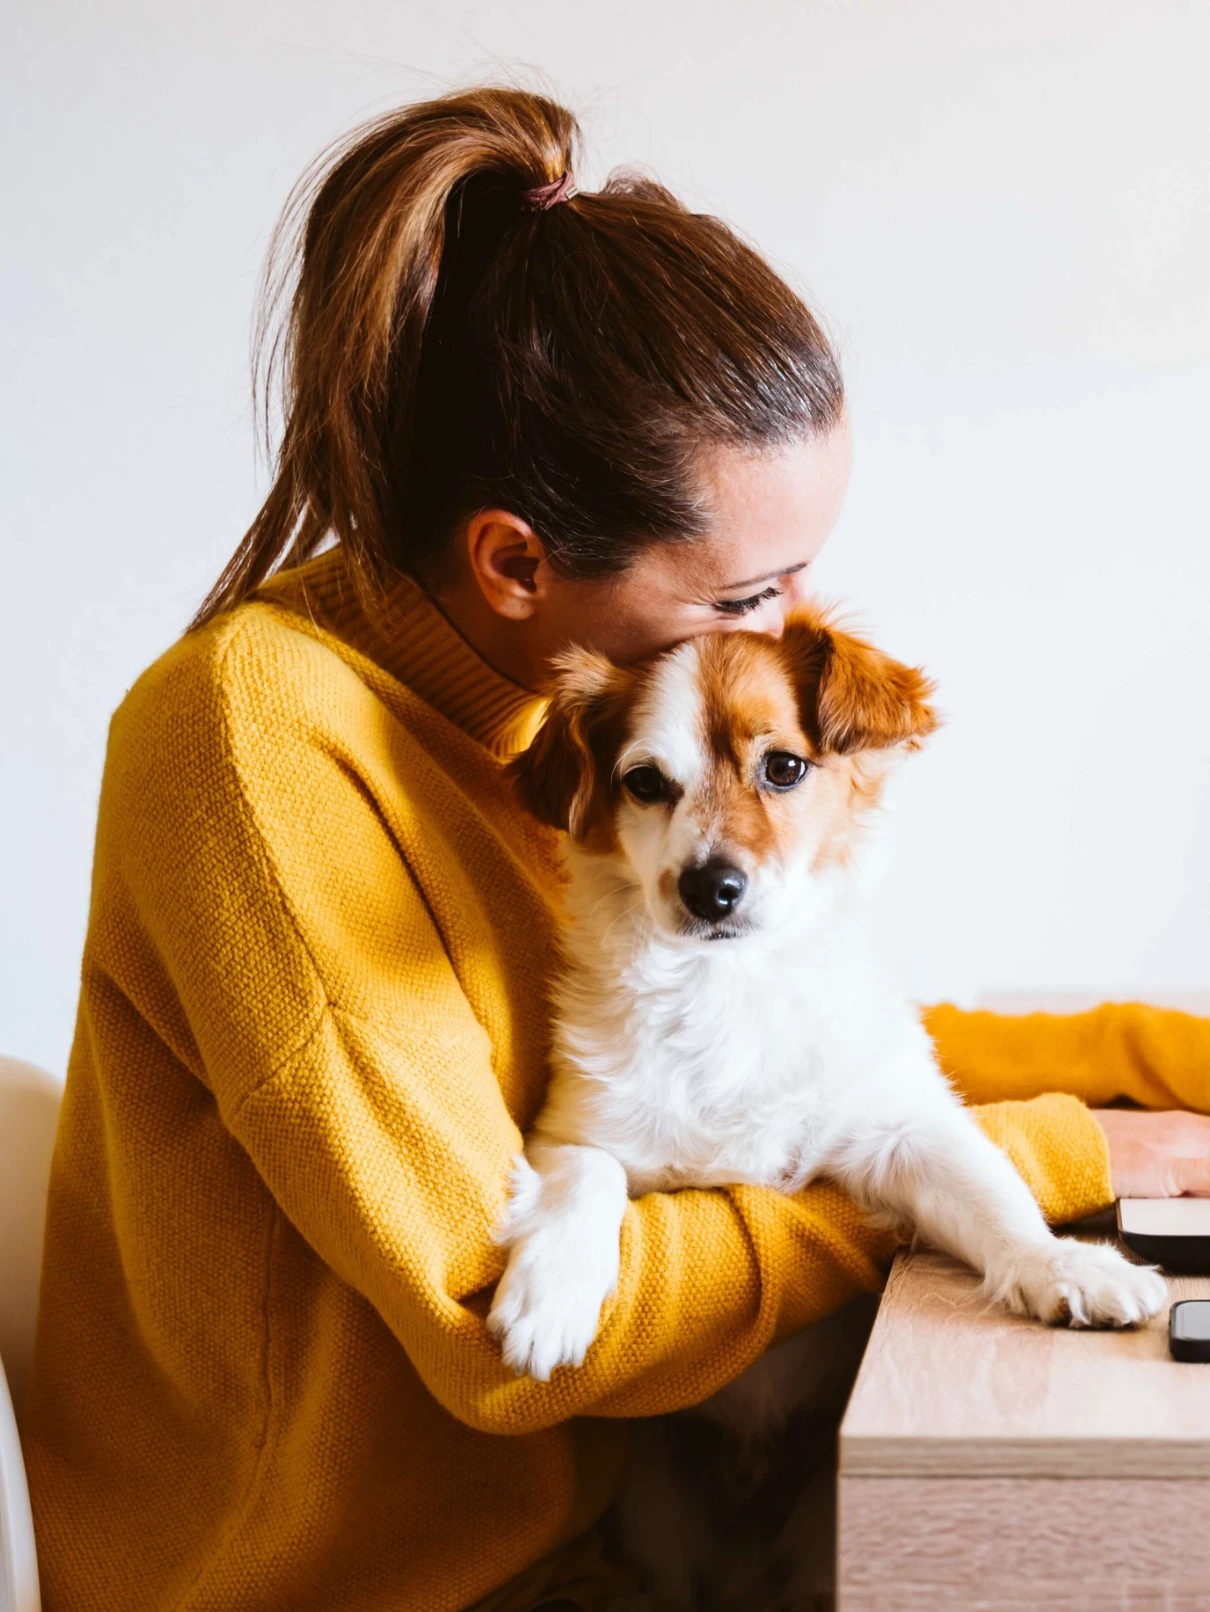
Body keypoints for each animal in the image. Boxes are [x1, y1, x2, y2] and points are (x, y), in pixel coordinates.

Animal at [487, 607, 1166, 1606]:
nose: (711, 888)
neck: (730, 993)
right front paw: (553, 1296)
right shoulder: (574, 1131)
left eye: (784, 767)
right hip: (659, 1532)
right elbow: (585, 1185)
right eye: (645, 783)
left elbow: (994, 1197)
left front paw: (1066, 1267)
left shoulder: (901, 1128)